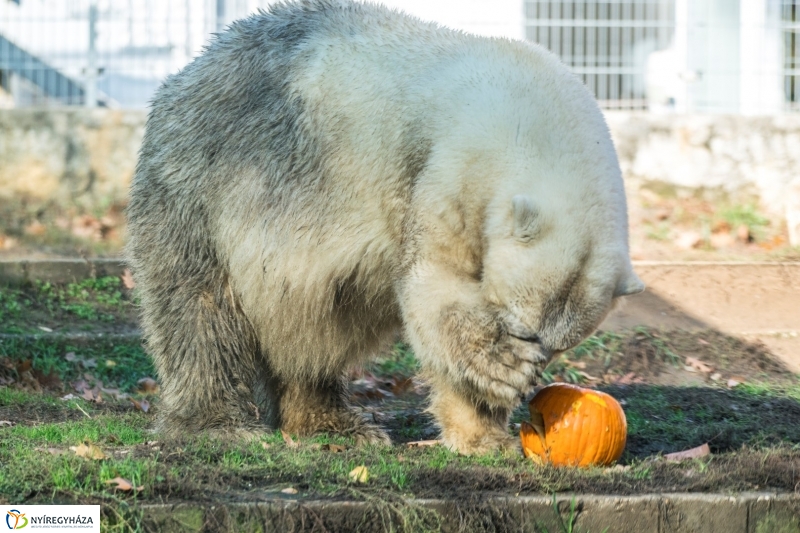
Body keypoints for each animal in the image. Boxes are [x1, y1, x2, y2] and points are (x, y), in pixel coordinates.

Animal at [128, 0, 648, 454]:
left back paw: (331, 422)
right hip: (208, 179)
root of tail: (188, 73)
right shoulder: (448, 168)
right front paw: (500, 370)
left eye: (560, 346)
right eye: (517, 326)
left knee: (309, 324)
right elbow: (434, 284)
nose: (532, 363)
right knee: (199, 307)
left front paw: (484, 436)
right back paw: (219, 425)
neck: (530, 106)